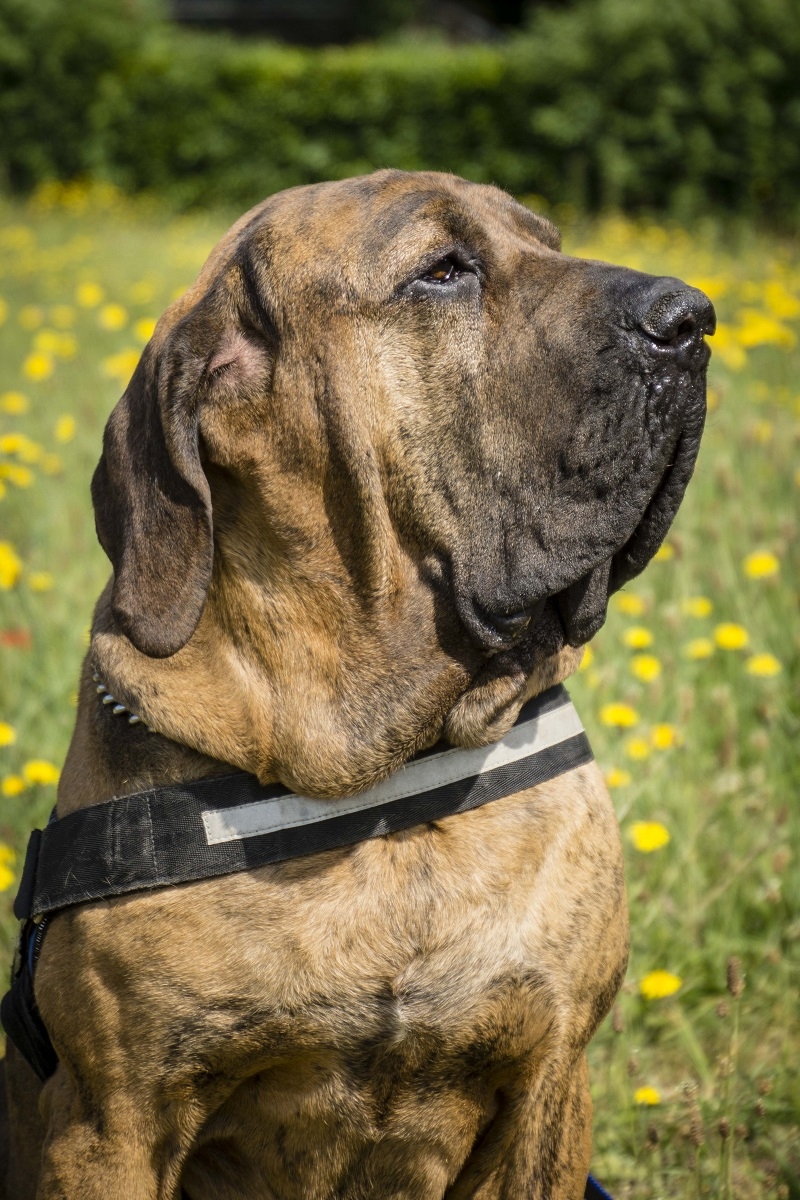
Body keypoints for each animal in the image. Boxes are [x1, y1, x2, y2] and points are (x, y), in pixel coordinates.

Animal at [0, 171, 714, 1200]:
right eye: (442, 272)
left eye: (549, 242)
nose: (693, 319)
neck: (384, 792)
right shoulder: (110, 1122)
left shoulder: (550, 1081)